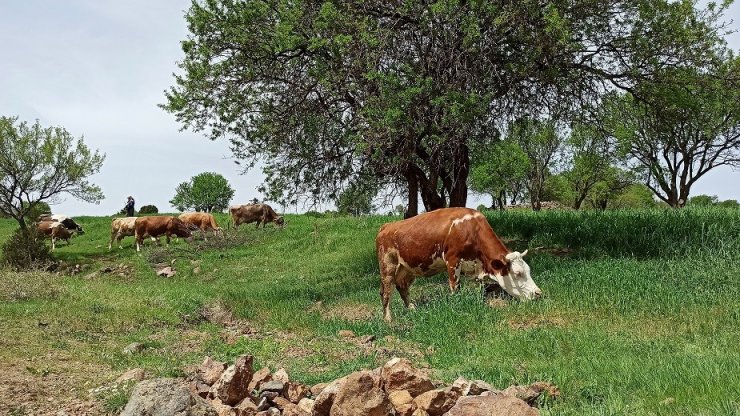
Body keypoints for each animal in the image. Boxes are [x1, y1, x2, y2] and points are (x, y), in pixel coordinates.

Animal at [376, 207, 544, 322]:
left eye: (528, 270)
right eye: (517, 273)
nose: (538, 293)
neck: (471, 229)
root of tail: (386, 226)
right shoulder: (452, 260)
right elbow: (455, 287)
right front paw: (456, 308)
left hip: (407, 269)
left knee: (402, 287)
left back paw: (412, 309)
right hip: (388, 266)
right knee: (386, 291)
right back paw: (388, 319)